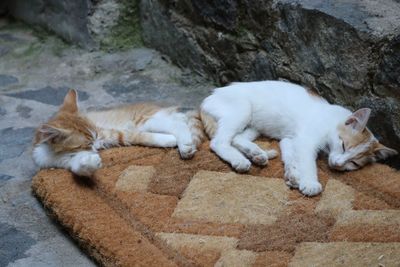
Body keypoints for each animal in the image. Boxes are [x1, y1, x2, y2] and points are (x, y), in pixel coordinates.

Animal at [32, 90, 205, 178]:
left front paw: (170, 140)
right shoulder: (64, 162)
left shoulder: (111, 133)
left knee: (178, 124)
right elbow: (78, 167)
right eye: (87, 143)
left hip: (147, 120)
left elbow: (140, 136)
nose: (95, 148)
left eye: (94, 138)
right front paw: (90, 163)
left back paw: (185, 144)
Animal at [200, 80, 396, 196]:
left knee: (236, 139)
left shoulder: (290, 139)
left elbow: (290, 155)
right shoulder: (305, 141)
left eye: (353, 163)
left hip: (254, 125)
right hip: (242, 109)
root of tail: (209, 96)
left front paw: (293, 174)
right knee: (218, 142)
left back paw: (257, 154)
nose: (338, 164)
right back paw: (240, 160)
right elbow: (308, 162)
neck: (331, 122)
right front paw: (309, 182)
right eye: (343, 145)